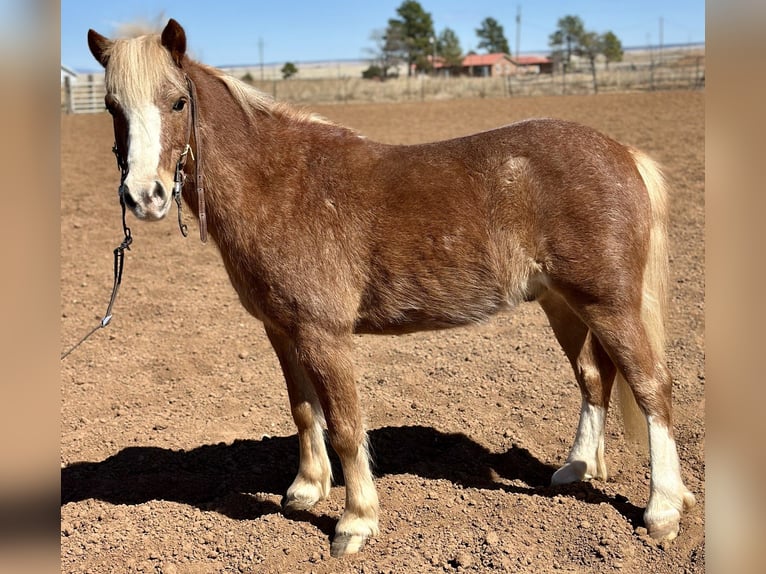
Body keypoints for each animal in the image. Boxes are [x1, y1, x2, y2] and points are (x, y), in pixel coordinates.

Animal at [87, 19, 695, 557]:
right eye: (113, 108)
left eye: (177, 103)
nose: (144, 197)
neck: (278, 184)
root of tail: (623, 154)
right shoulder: (282, 332)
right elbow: (303, 411)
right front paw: (306, 491)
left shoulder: (324, 335)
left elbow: (346, 426)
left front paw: (355, 522)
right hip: (564, 304)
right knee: (594, 377)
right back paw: (576, 468)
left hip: (608, 304)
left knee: (652, 387)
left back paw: (662, 511)